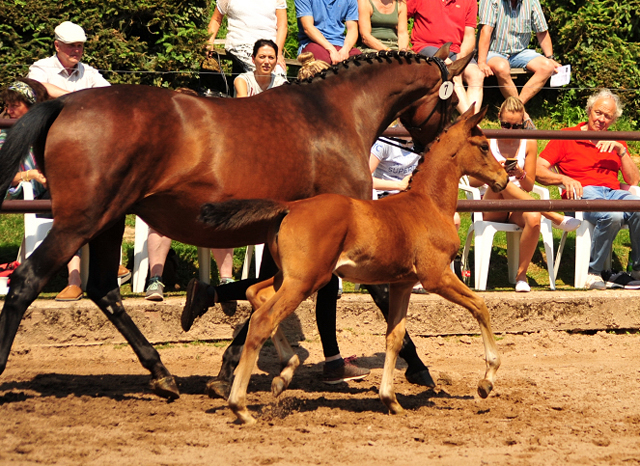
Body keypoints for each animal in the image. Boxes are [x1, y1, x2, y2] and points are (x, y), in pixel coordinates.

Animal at [0, 49, 470, 398]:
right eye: (451, 101)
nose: (445, 148)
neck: (334, 115)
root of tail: (62, 102)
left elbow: (259, 293)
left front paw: (225, 365)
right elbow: (370, 294)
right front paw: (420, 370)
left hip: (108, 220)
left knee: (103, 289)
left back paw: (162, 374)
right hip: (81, 221)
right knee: (25, 281)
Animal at [201, 107, 510, 424]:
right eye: (484, 146)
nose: (503, 177)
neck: (429, 205)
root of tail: (290, 207)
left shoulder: (402, 284)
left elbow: (394, 336)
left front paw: (391, 400)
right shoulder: (436, 276)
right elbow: (480, 306)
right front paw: (487, 381)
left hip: (289, 277)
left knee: (255, 294)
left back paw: (285, 372)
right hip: (306, 281)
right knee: (263, 318)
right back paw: (241, 405)